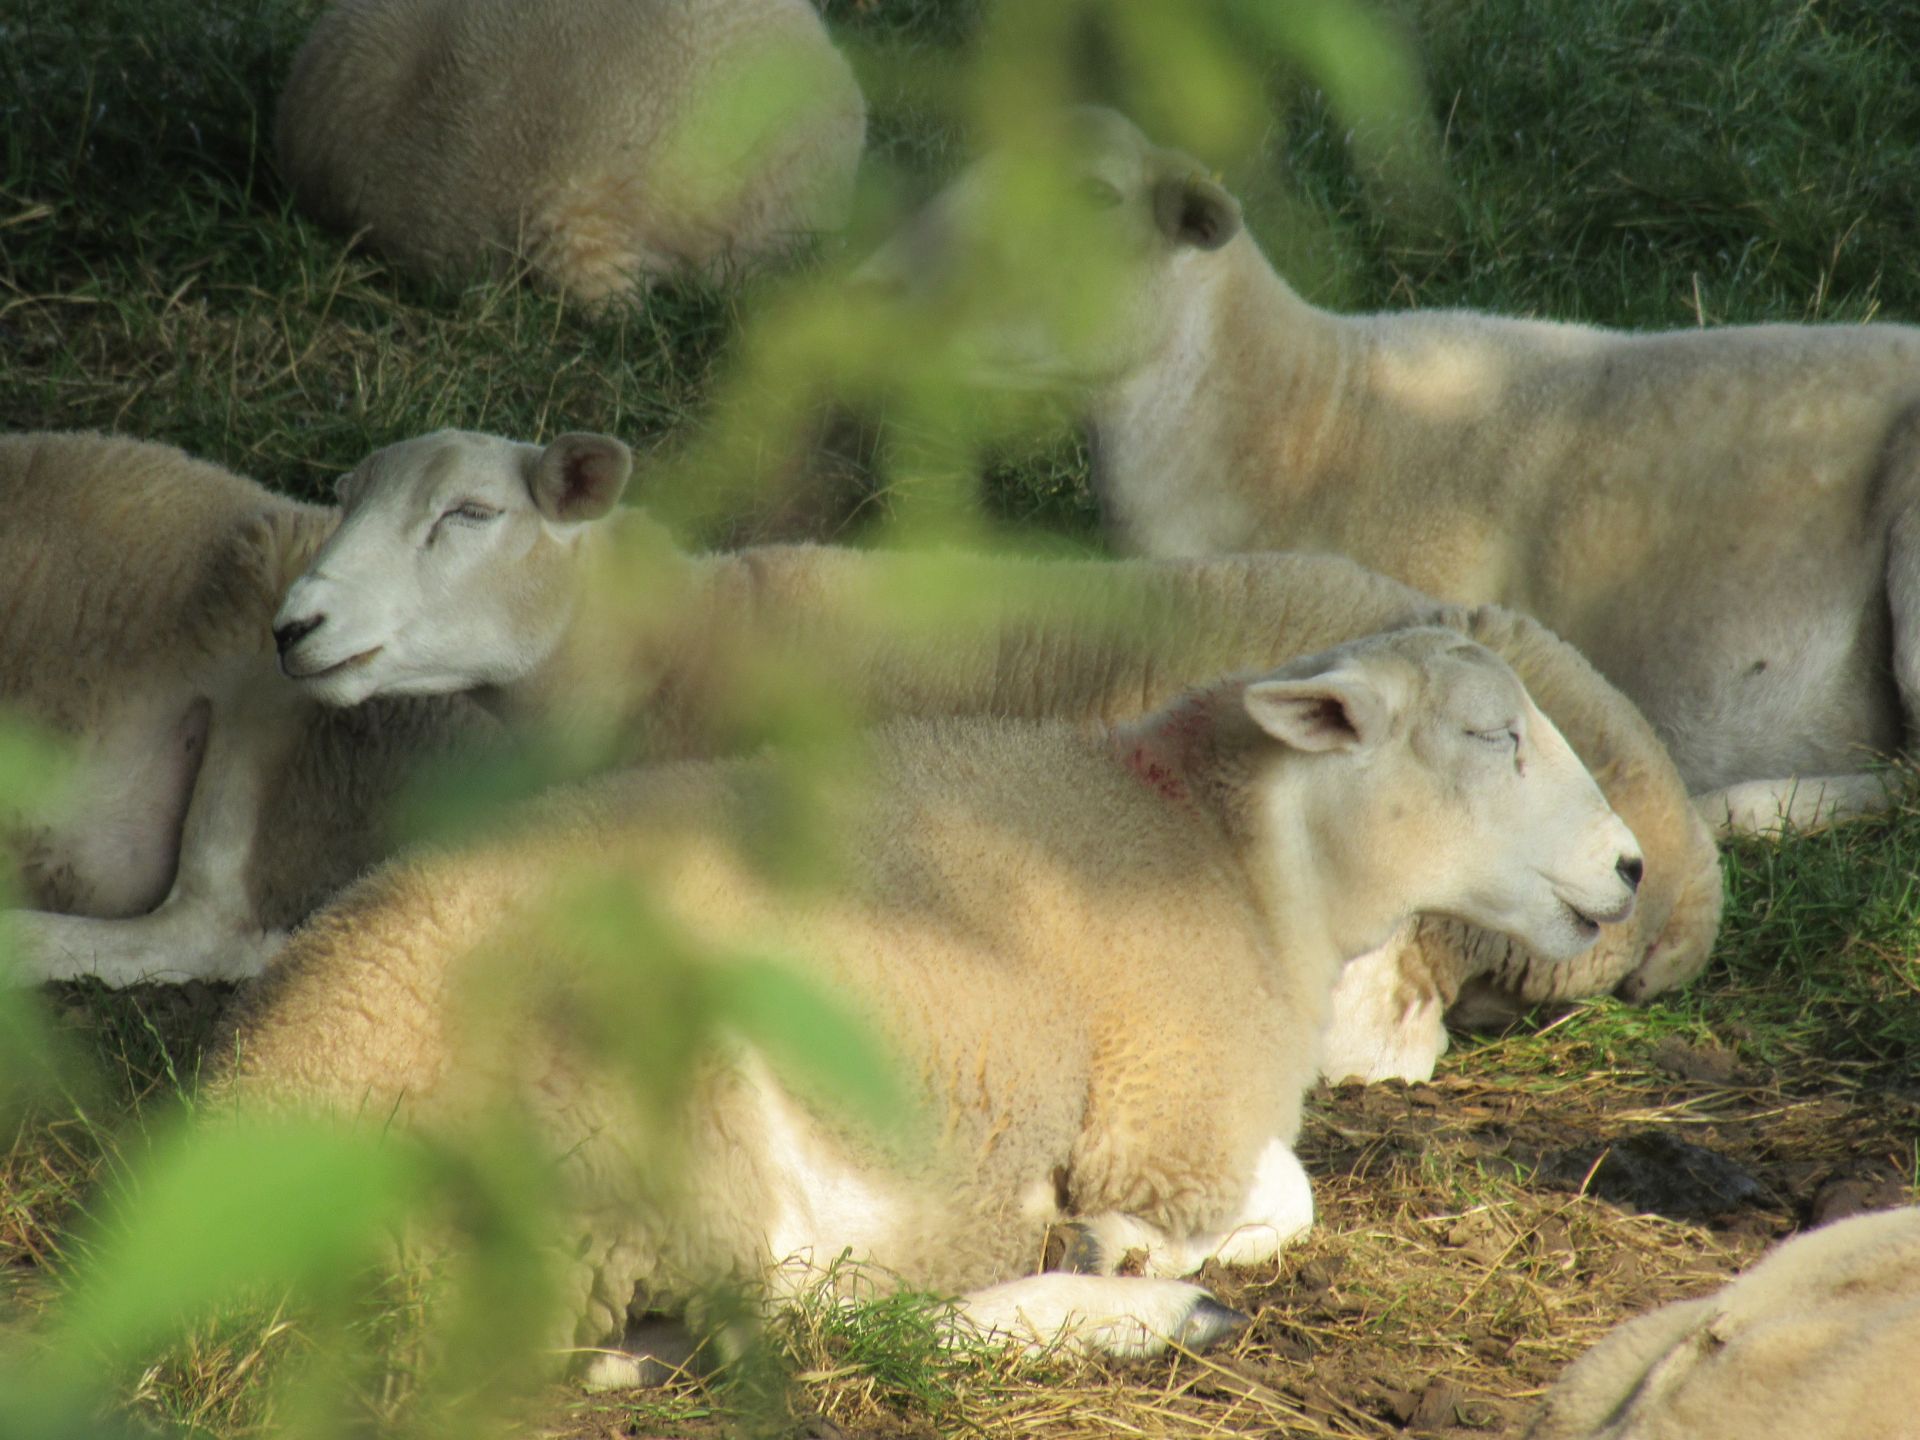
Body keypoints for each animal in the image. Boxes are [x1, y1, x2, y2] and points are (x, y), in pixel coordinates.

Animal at [216, 626, 1645, 1375]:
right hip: (638, 1112)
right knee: (795, 1319)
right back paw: (1124, 1313)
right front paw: (1135, 1256)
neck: (1234, 853)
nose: (1630, 866)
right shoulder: (1163, 1115)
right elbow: (1278, 1197)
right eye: (1491, 736)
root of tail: (255, 1105)